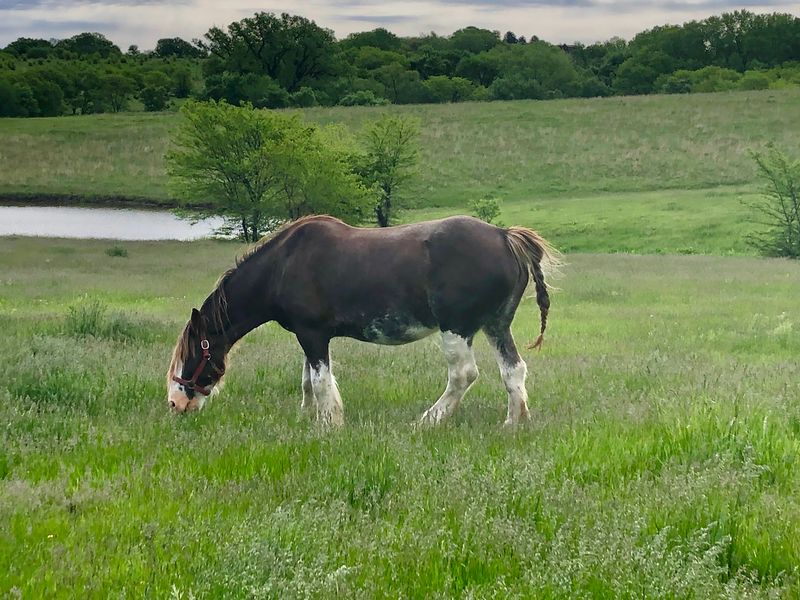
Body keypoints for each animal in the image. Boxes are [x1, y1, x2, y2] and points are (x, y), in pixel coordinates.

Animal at [166, 215, 559, 426]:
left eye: (192, 355)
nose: (175, 404)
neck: (283, 265)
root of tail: (505, 237)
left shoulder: (313, 335)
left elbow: (321, 382)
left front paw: (329, 424)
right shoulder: (309, 337)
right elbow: (308, 381)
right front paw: (308, 417)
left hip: (456, 328)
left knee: (463, 375)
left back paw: (428, 421)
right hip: (496, 325)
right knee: (513, 371)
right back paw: (512, 423)